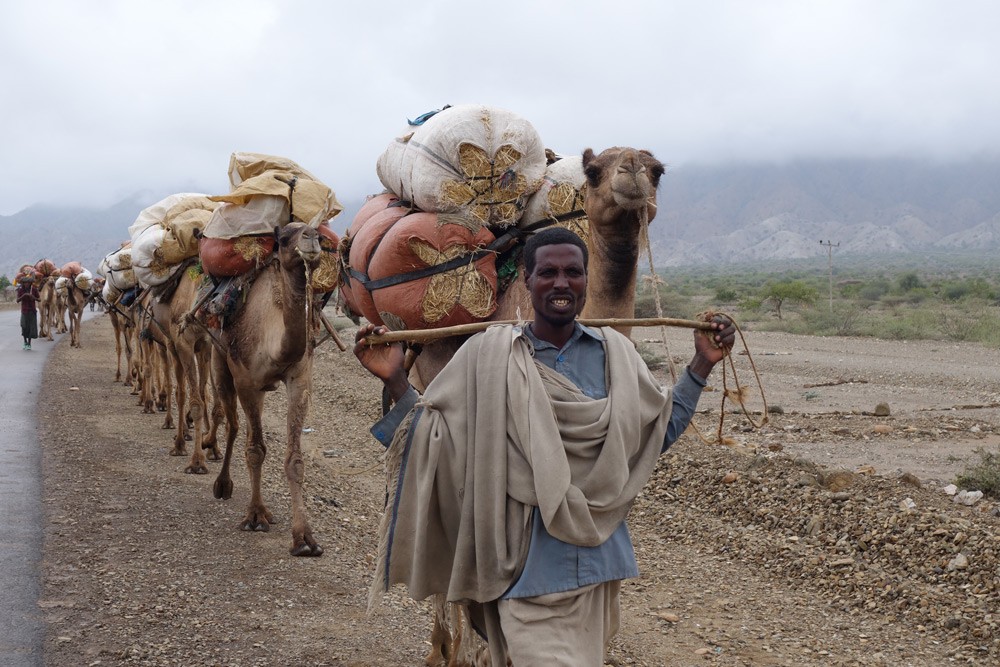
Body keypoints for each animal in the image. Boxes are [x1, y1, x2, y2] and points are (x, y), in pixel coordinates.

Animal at [211, 223, 324, 560]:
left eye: (321, 235)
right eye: (284, 238)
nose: (312, 238)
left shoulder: (299, 378)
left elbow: (295, 460)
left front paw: (304, 539)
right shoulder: (246, 379)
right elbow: (255, 450)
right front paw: (254, 516)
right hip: (220, 362)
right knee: (232, 423)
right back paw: (222, 484)